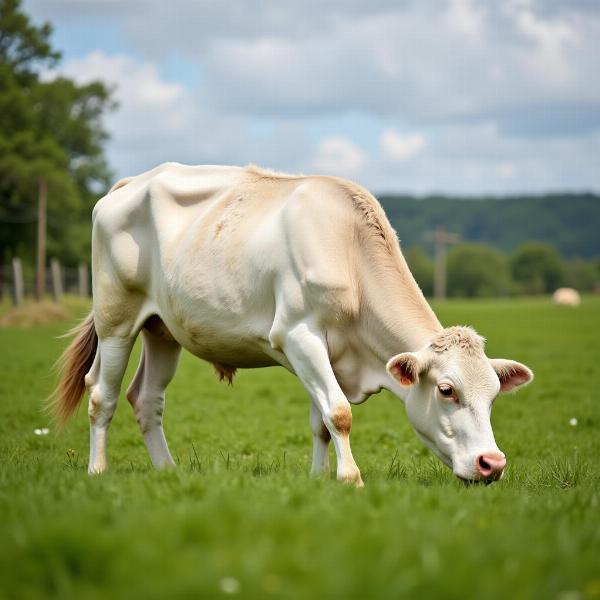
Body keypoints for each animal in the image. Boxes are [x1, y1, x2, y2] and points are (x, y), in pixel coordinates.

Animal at [51, 162, 532, 486]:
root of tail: (129, 183)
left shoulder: (328, 353)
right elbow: (338, 412)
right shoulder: (299, 335)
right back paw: (98, 470)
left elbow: (321, 419)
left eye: (494, 394)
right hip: (116, 318)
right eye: (447, 390)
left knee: (146, 398)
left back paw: (168, 471)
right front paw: (351, 479)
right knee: (103, 395)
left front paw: (322, 479)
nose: (492, 464)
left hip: (163, 329)